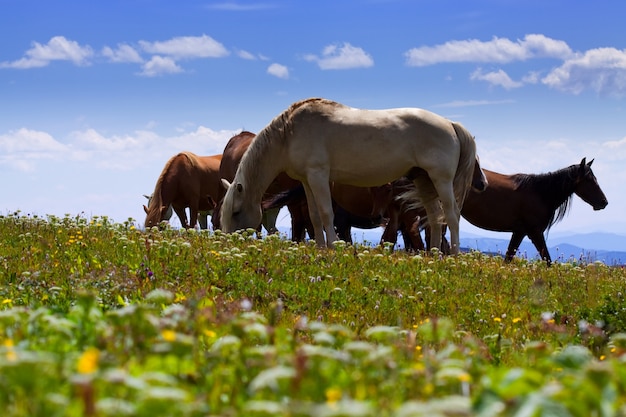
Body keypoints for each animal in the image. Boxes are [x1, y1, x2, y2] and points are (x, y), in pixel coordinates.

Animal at [219, 98, 482, 254]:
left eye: (236, 212)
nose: (230, 244)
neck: (289, 133)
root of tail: (450, 123)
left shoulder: (319, 175)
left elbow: (326, 213)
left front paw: (332, 247)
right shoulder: (307, 180)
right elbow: (314, 216)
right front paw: (320, 248)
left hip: (441, 180)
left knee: (451, 216)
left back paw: (452, 256)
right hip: (423, 180)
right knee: (435, 218)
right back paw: (433, 255)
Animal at [460, 158, 608, 264]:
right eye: (588, 180)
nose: (604, 202)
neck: (540, 193)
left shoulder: (519, 232)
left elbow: (508, 258)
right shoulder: (535, 232)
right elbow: (548, 260)